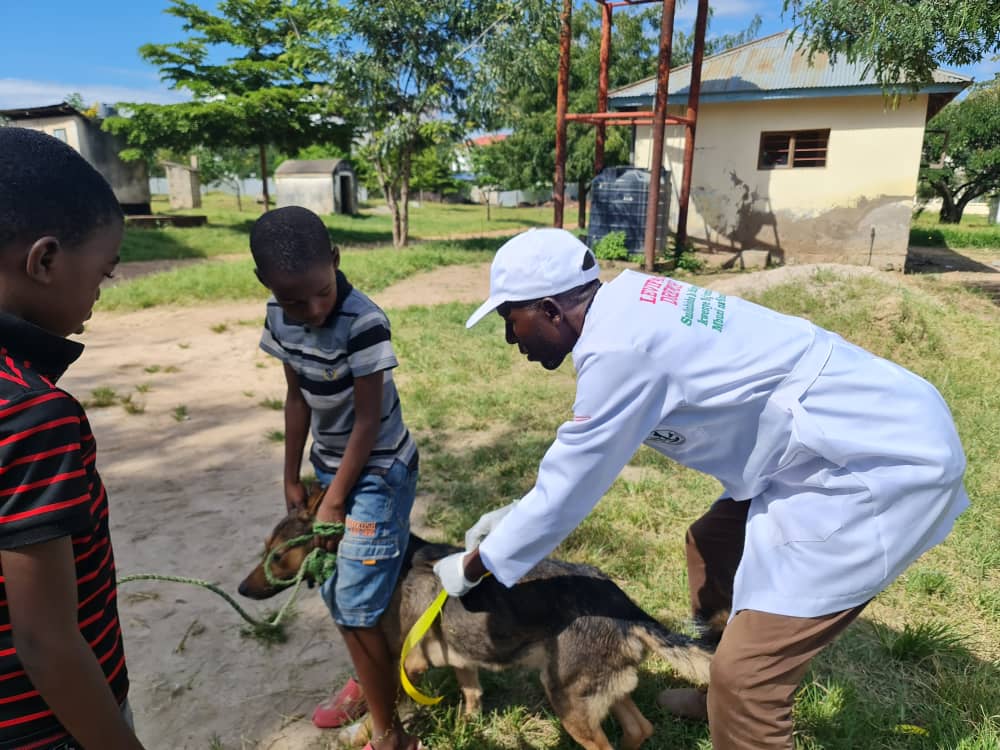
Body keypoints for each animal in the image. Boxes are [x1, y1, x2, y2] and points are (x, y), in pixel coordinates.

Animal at [241, 490, 712, 748]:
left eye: (278, 556)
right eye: (263, 549)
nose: (243, 590)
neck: (390, 568)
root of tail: (628, 609)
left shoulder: (406, 664)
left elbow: (385, 710)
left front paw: (359, 736)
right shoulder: (461, 657)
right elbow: (471, 693)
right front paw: (467, 729)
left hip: (567, 699)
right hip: (599, 689)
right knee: (639, 728)